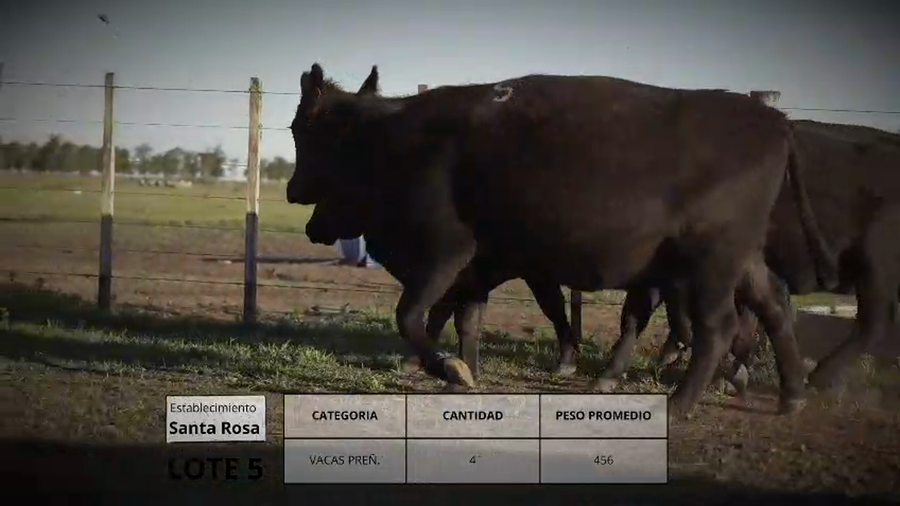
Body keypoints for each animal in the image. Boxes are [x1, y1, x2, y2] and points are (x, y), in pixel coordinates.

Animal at [286, 63, 838, 418]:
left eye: (298, 128)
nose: (294, 194)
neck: (396, 141)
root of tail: (773, 120)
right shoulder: (481, 265)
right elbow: (465, 318)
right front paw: (468, 369)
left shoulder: (446, 252)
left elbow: (410, 314)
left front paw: (449, 368)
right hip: (739, 259)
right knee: (773, 305)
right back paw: (791, 395)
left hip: (710, 264)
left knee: (719, 327)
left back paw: (679, 404)